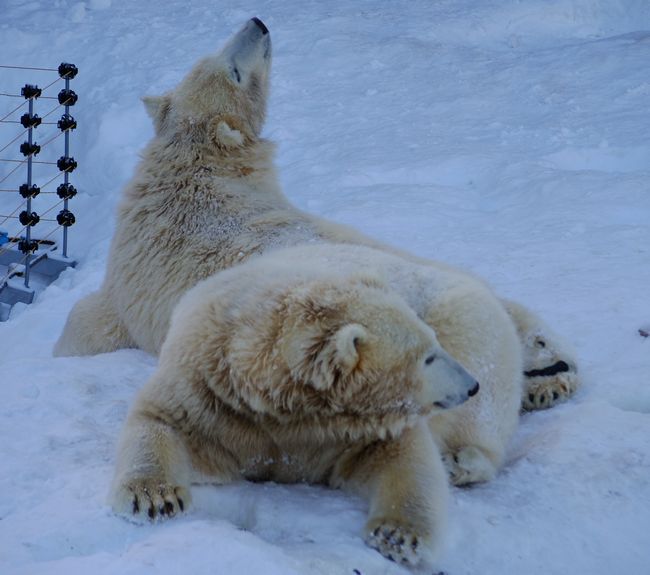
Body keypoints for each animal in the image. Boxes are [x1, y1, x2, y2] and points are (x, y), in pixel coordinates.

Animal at [52, 16, 576, 410]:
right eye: (221, 58)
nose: (258, 22)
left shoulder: (138, 272)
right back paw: (549, 368)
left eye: (235, 68)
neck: (199, 168)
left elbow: (88, 320)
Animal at [109, 244, 520, 568]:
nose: (470, 385)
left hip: (471, 326)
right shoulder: (213, 393)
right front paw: (154, 499)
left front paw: (398, 536)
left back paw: (459, 462)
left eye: (433, 345)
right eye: (428, 357)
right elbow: (164, 421)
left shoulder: (352, 427)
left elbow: (404, 457)